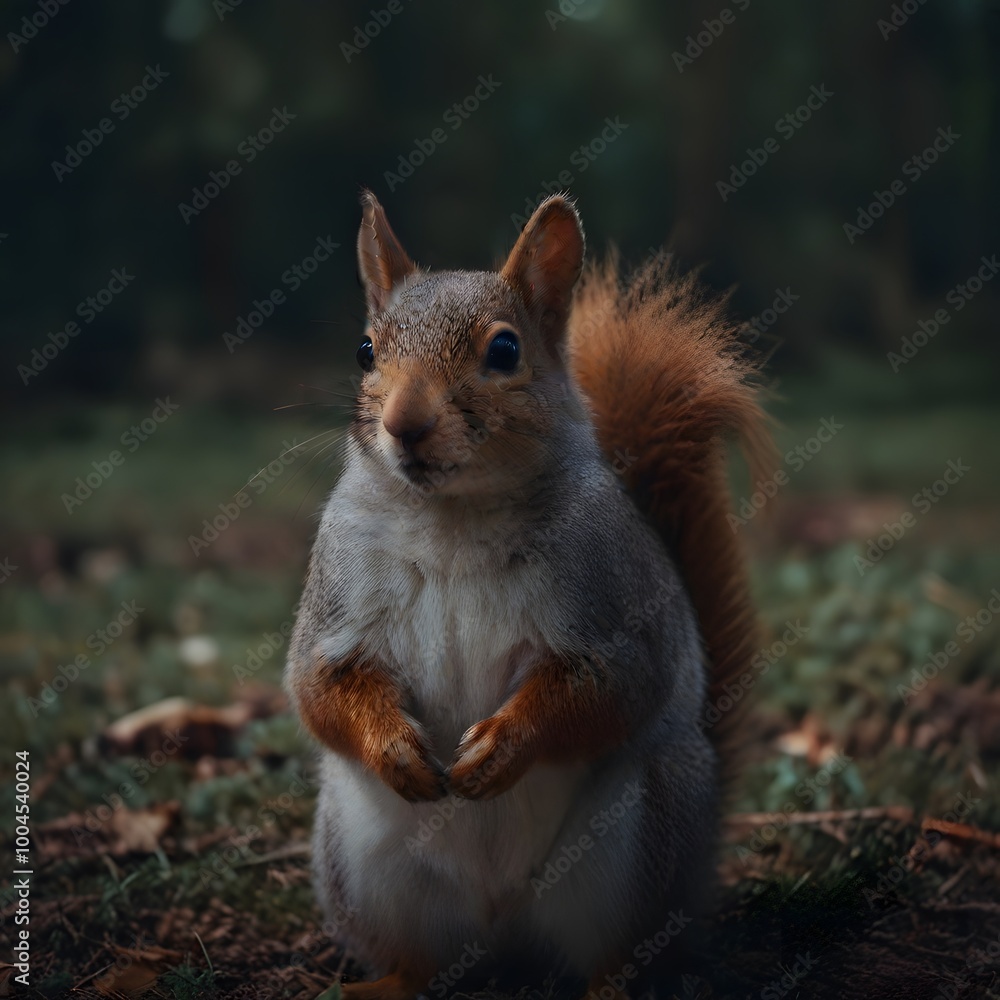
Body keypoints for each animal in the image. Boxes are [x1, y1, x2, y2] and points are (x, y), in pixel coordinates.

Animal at [285, 190, 773, 1000]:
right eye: (364, 351)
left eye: (506, 351)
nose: (404, 426)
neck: (454, 520)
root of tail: (500, 927)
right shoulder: (338, 596)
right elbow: (318, 686)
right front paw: (395, 748)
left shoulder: (611, 607)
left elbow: (614, 689)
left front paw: (498, 749)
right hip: (364, 858)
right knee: (419, 959)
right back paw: (387, 982)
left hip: (635, 840)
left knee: (615, 952)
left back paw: (611, 985)